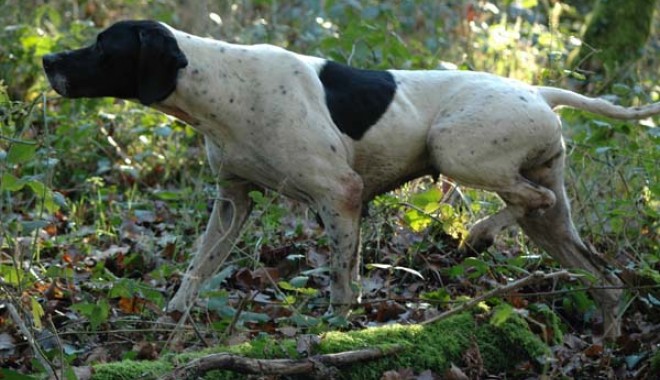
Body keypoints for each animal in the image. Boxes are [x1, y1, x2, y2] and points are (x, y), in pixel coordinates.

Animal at [42, 20, 660, 336]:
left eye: (102, 44)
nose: (48, 61)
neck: (220, 83)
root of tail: (540, 91)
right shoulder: (233, 200)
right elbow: (198, 268)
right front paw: (173, 321)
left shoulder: (340, 195)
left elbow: (342, 280)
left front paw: (335, 331)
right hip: (552, 223)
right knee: (600, 271)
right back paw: (609, 334)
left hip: (455, 149)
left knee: (527, 199)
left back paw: (480, 233)